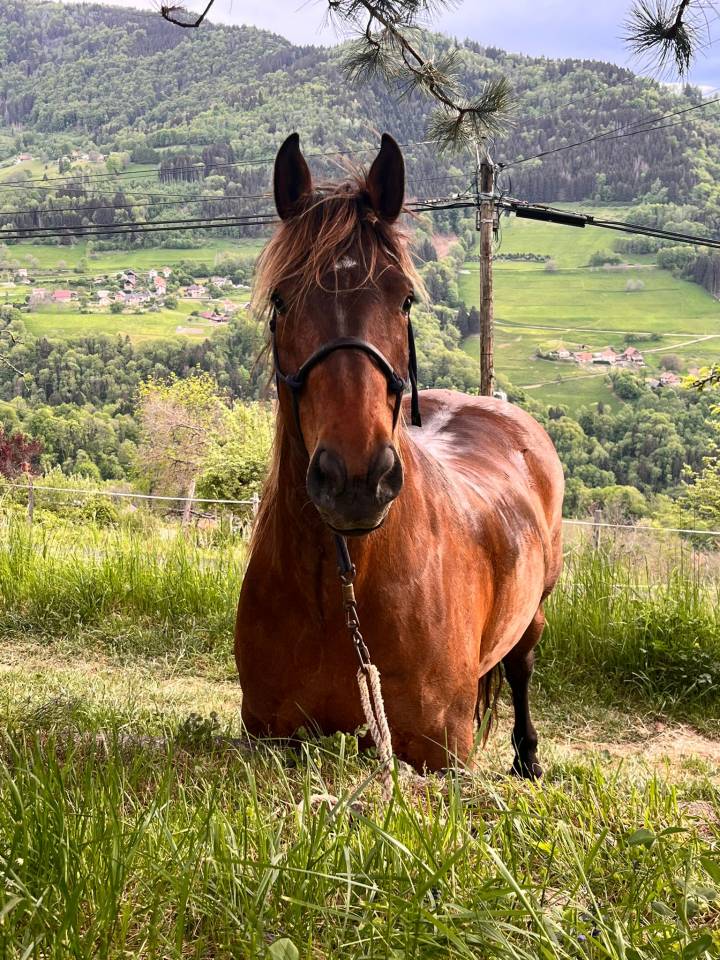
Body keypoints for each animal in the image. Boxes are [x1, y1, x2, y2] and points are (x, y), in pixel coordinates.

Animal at [235, 132, 564, 775]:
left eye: (405, 299)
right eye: (282, 301)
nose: (356, 480)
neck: (338, 593)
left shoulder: (439, 754)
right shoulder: (268, 739)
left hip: (536, 611)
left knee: (521, 667)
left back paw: (527, 758)